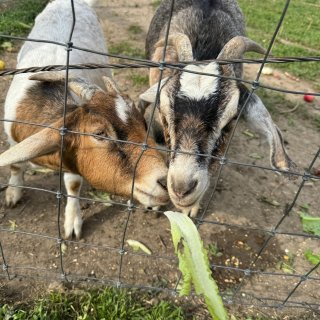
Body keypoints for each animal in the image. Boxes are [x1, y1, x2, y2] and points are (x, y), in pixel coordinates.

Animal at [0, 0, 170, 239]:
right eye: (99, 133)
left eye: (144, 125)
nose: (164, 182)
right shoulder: (12, 136)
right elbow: (16, 165)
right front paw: (13, 193)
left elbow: (73, 184)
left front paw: (72, 222)